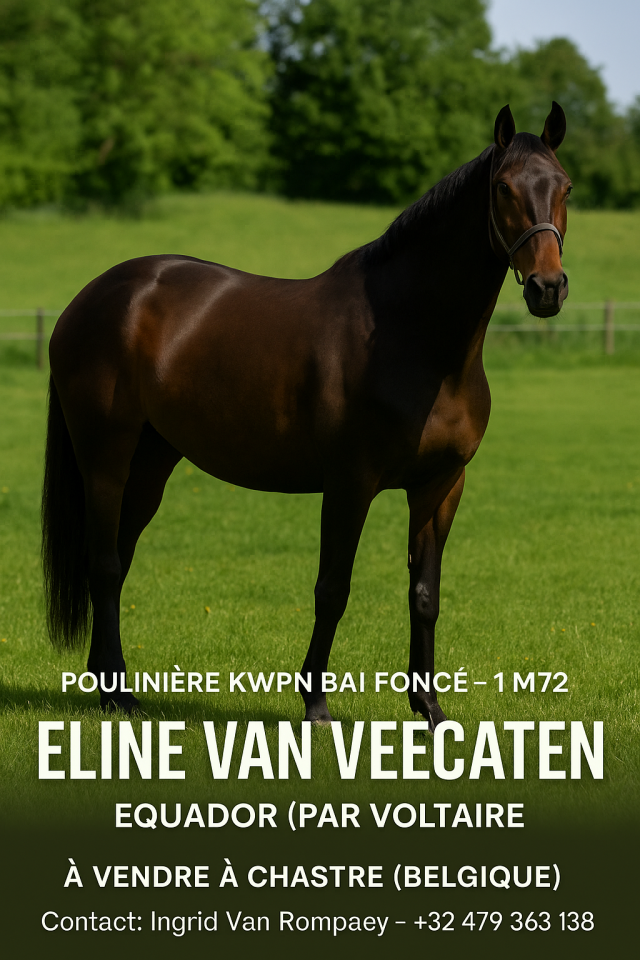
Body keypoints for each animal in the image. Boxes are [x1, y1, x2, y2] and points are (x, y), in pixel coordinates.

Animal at [42, 103, 570, 728]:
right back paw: (118, 693)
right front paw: (315, 701)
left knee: (117, 562)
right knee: (102, 563)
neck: (413, 336)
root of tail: (91, 298)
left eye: (564, 186)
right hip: (105, 457)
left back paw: (106, 684)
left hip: (150, 463)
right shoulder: (349, 483)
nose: (547, 287)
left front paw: (430, 710)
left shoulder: (441, 486)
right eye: (503, 188)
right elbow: (333, 588)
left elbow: (425, 594)